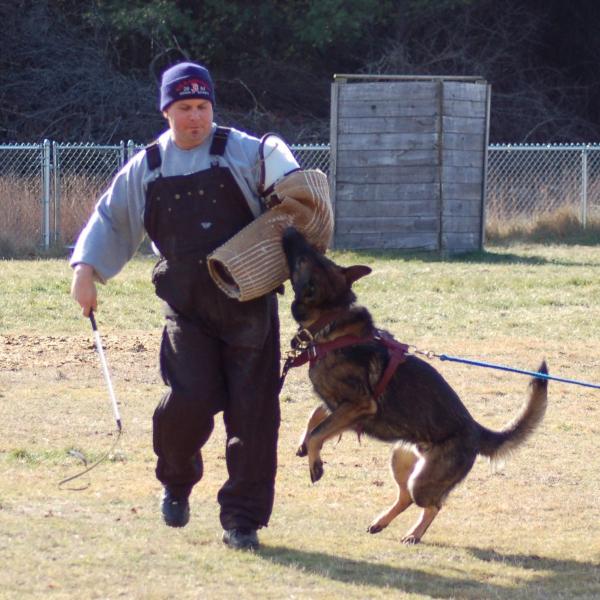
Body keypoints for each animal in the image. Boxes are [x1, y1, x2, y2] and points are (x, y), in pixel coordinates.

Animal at [282, 227, 548, 548]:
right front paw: (303, 444)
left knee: (431, 504)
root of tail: (475, 429)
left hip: (423, 481)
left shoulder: (359, 403)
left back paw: (414, 533)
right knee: (406, 496)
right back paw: (381, 522)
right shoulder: (338, 404)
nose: (289, 230)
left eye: (303, 257)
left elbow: (319, 430)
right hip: (400, 458)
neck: (331, 320)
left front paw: (314, 460)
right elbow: (316, 417)